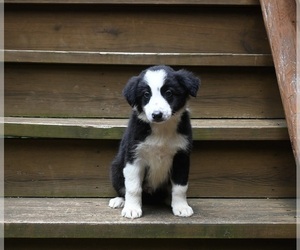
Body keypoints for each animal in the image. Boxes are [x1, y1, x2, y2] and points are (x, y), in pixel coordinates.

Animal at [109, 65, 200, 219]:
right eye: (146, 94)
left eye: (169, 93)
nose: (157, 115)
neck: (161, 129)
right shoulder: (134, 157)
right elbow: (133, 187)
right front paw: (132, 209)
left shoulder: (181, 157)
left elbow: (180, 187)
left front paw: (181, 207)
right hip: (116, 168)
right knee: (123, 188)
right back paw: (120, 201)